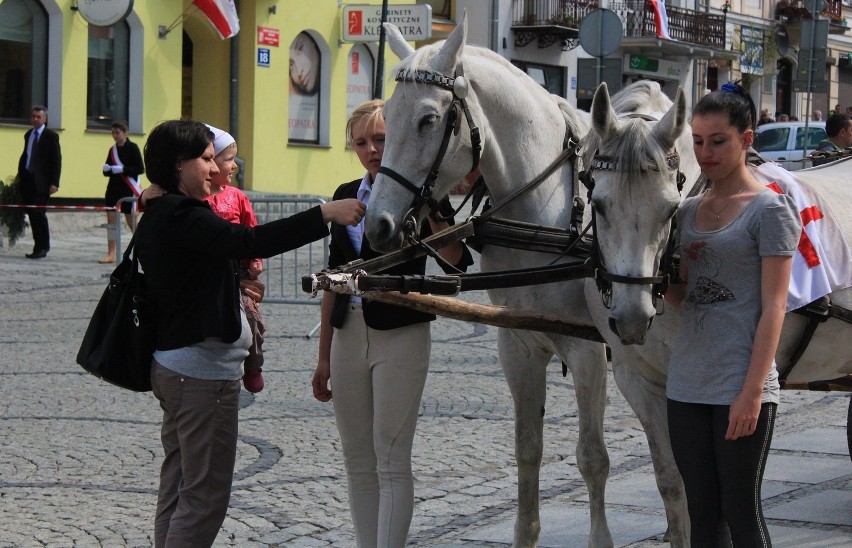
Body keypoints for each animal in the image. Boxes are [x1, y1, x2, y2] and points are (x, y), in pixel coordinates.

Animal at [366, 18, 680, 548]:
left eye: (428, 120)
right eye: (386, 115)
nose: (378, 225)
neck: (546, 208)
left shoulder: (588, 349)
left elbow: (592, 458)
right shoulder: (517, 343)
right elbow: (527, 448)